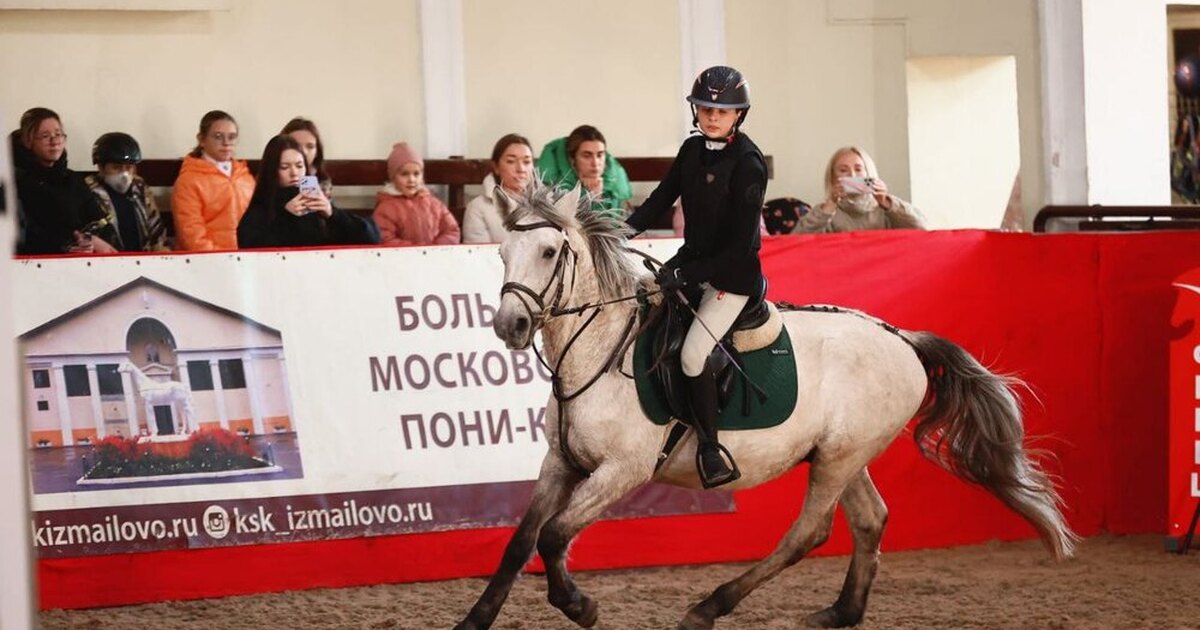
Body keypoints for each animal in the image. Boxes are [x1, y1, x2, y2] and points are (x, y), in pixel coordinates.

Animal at [454, 181, 1077, 630]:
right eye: (502, 253)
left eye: (549, 250)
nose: (509, 326)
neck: (603, 350)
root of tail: (901, 336)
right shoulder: (561, 464)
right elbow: (522, 541)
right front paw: (475, 620)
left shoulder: (622, 471)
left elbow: (556, 536)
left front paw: (580, 606)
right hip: (844, 454)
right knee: (869, 519)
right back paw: (840, 613)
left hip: (837, 460)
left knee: (808, 533)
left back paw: (709, 608)